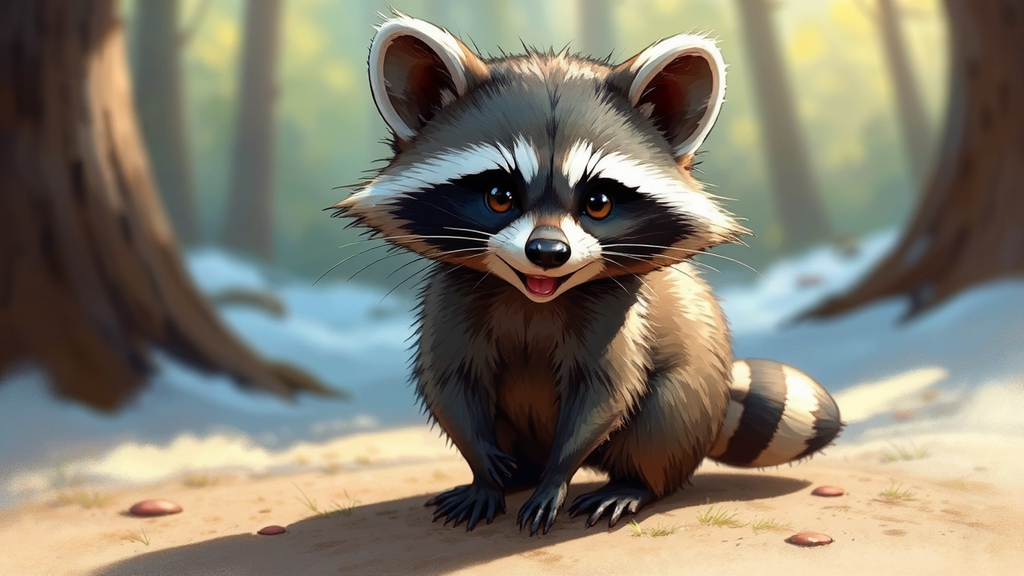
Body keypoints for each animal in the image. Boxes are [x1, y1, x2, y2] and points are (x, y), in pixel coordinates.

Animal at [334, 13, 842, 535]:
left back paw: (628, 483)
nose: (547, 252)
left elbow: (604, 394)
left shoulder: (619, 314)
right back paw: (518, 476)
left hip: (691, 395)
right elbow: (451, 384)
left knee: (661, 423)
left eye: (598, 203)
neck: (534, 297)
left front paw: (558, 475)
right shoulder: (452, 297)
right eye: (499, 196)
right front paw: (483, 473)